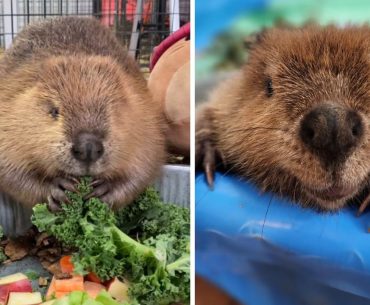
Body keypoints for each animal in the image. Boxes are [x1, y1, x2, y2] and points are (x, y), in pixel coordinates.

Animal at [0, 16, 165, 210]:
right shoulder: (10, 102)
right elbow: (11, 171)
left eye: (112, 108)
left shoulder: (145, 117)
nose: (88, 148)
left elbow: (144, 168)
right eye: (54, 111)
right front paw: (58, 188)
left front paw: (103, 191)